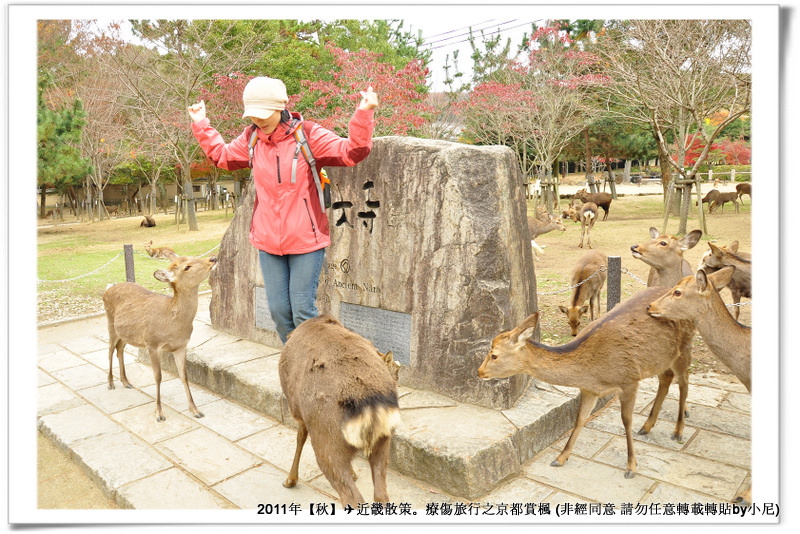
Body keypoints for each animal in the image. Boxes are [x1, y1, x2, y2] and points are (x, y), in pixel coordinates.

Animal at [102, 255, 219, 422]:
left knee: (120, 349)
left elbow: (184, 376)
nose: (213, 258)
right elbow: (158, 377)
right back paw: (111, 383)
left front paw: (196, 410)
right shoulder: (152, 344)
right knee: (110, 350)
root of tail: (107, 289)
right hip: (110, 322)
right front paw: (159, 413)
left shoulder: (181, 346)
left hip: (126, 334)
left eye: (192, 258)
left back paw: (126, 382)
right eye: (187, 267)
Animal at [280, 316, 404, 508]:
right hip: (383, 441)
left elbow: (300, 437)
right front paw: (354, 473)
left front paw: (290, 480)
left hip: (327, 442)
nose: (398, 382)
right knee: (381, 495)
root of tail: (369, 405)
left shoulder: (298, 410)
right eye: (394, 370)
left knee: (352, 498)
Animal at [482, 288, 692, 482]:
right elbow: (580, 419)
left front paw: (631, 467)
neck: (592, 372)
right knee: (666, 378)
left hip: (685, 346)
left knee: (683, 381)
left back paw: (679, 430)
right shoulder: (589, 390)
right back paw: (647, 426)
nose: (479, 372)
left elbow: (626, 421)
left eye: (494, 355)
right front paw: (560, 458)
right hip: (662, 358)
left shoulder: (629, 380)